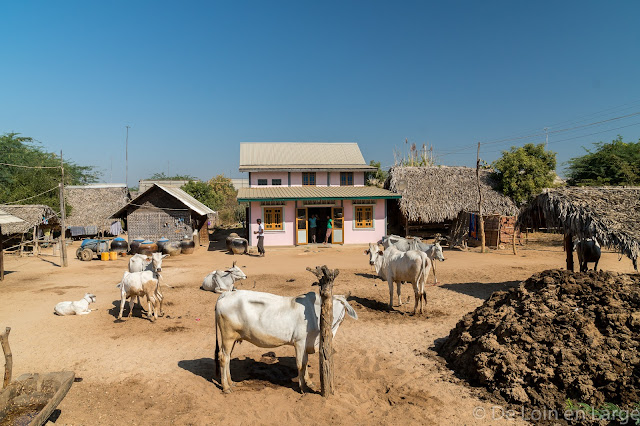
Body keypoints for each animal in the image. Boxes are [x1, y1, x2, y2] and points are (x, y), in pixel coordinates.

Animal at [214, 290, 356, 392]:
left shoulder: (306, 343)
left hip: (233, 338)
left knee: (227, 357)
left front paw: (308, 382)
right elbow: (300, 364)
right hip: (227, 336)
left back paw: (231, 382)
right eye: (329, 307)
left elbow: (305, 362)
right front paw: (302, 387)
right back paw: (226, 387)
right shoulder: (300, 342)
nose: (331, 320)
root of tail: (227, 293)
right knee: (223, 358)